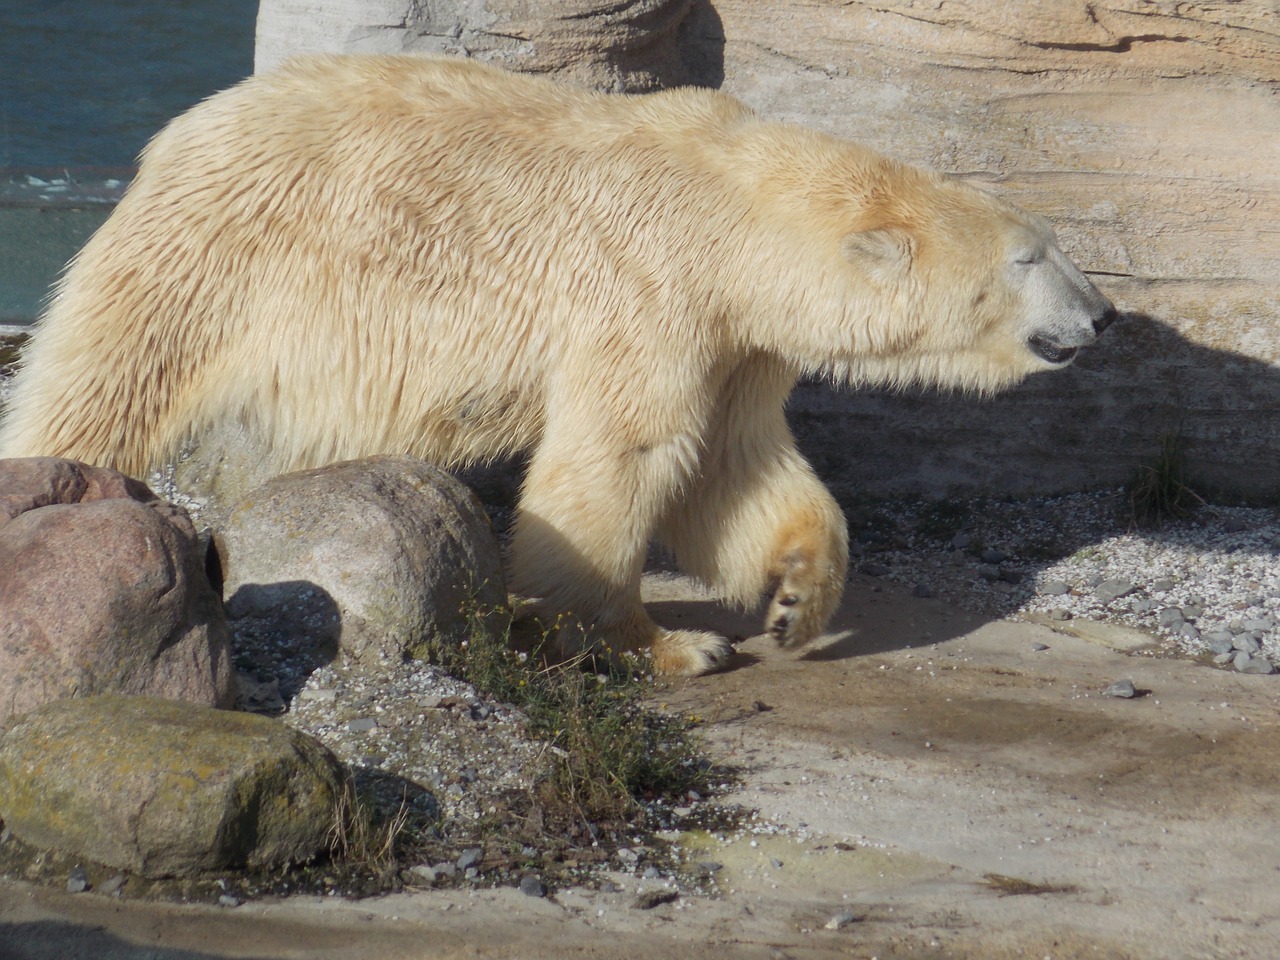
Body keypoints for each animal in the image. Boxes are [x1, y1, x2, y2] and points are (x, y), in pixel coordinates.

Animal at [0, 54, 1111, 675]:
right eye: (1032, 257)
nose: (1102, 316)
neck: (730, 208)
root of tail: (178, 134)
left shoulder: (734, 337)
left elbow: (733, 465)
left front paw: (797, 603)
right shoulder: (648, 290)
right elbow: (623, 459)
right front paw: (670, 646)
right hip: (220, 252)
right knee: (108, 373)